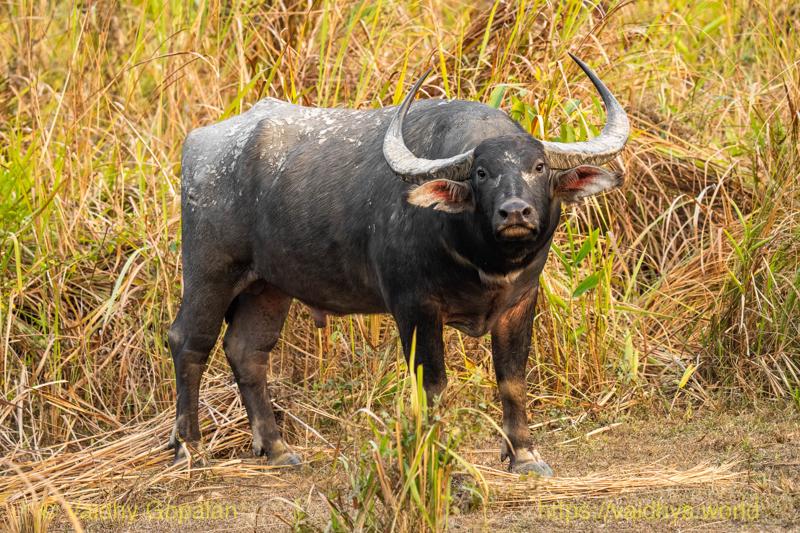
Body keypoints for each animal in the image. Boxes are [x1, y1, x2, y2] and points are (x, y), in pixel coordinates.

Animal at [168, 54, 629, 475]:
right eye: (482, 172)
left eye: (539, 167)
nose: (515, 212)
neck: (483, 261)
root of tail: (199, 145)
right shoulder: (414, 305)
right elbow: (433, 382)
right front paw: (438, 457)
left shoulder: (520, 301)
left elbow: (512, 377)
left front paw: (525, 455)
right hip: (210, 271)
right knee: (189, 341)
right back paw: (187, 450)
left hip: (268, 286)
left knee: (247, 351)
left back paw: (278, 449)